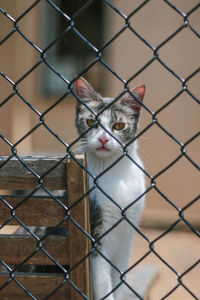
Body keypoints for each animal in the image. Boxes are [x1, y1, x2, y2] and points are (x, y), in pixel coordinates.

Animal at [74, 78, 155, 300]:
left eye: (119, 125)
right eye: (91, 122)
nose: (103, 139)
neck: (112, 170)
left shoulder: (127, 234)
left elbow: (119, 276)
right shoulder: (97, 233)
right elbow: (103, 281)